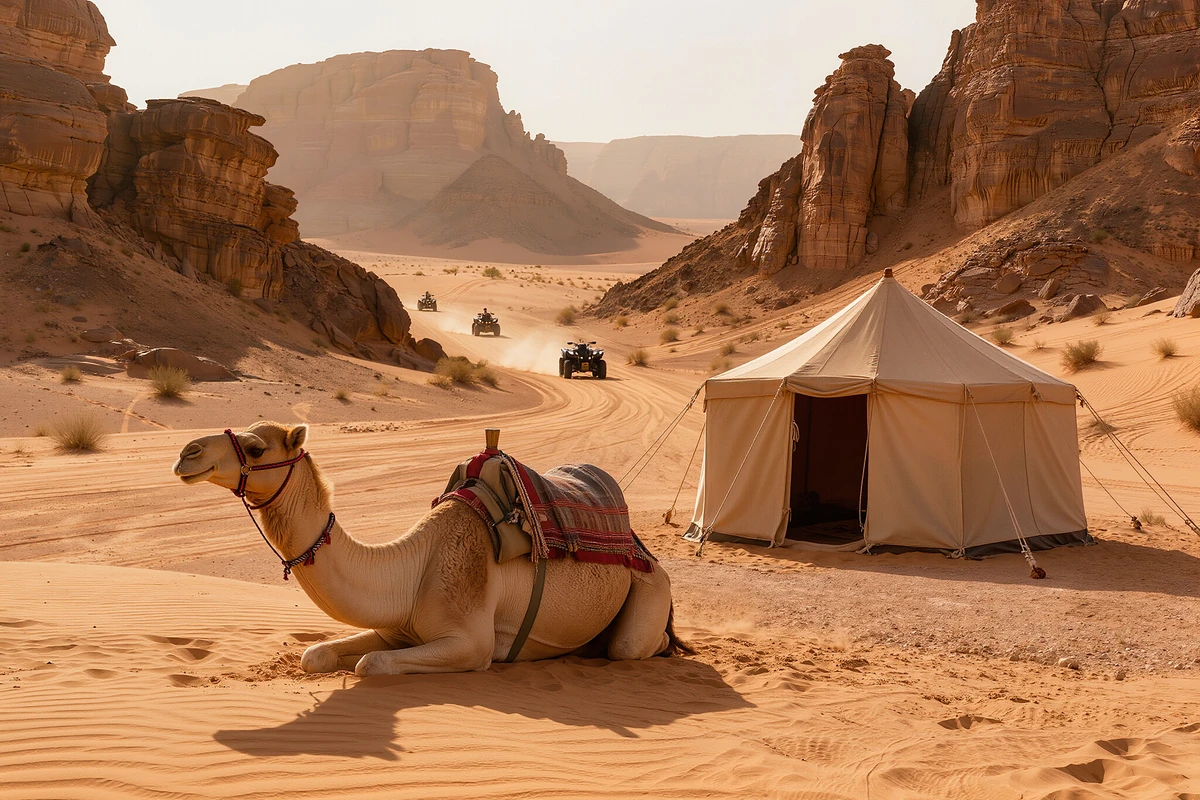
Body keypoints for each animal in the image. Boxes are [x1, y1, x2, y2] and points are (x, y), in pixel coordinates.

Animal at [173, 421, 687, 676]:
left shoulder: (470, 643)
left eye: (256, 448)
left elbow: (370, 664)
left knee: (631, 645)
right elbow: (315, 655)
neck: (411, 568)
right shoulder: (396, 629)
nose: (186, 453)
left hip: (649, 590)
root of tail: (645, 551)